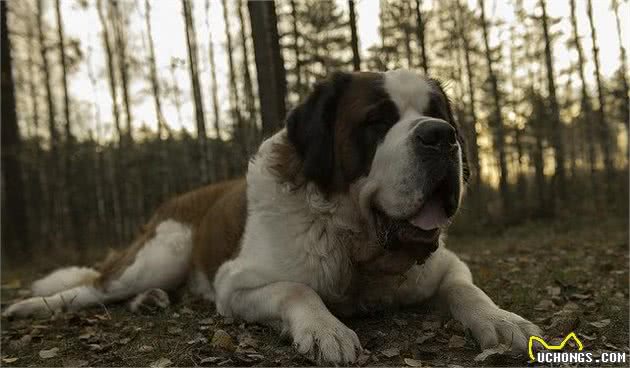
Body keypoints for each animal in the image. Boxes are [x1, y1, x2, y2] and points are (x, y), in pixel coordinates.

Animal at [2, 69, 540, 366]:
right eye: (377, 122)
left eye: (440, 115)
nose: (440, 136)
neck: (356, 247)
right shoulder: (235, 284)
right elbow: (296, 288)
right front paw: (327, 331)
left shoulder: (445, 265)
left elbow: (466, 289)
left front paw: (503, 320)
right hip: (162, 251)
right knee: (92, 287)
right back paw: (35, 306)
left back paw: (150, 301)